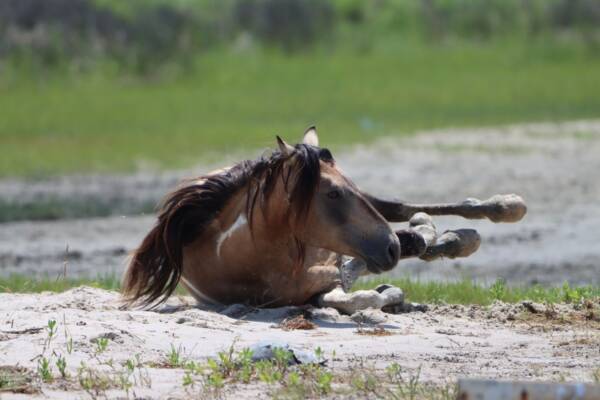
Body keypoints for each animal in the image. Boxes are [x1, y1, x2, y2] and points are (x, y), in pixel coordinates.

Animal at [122, 126, 524, 314]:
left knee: (401, 209)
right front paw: (387, 292)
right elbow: (355, 291)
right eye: (332, 194)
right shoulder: (322, 274)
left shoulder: (336, 256)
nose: (390, 248)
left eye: (348, 187)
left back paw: (501, 208)